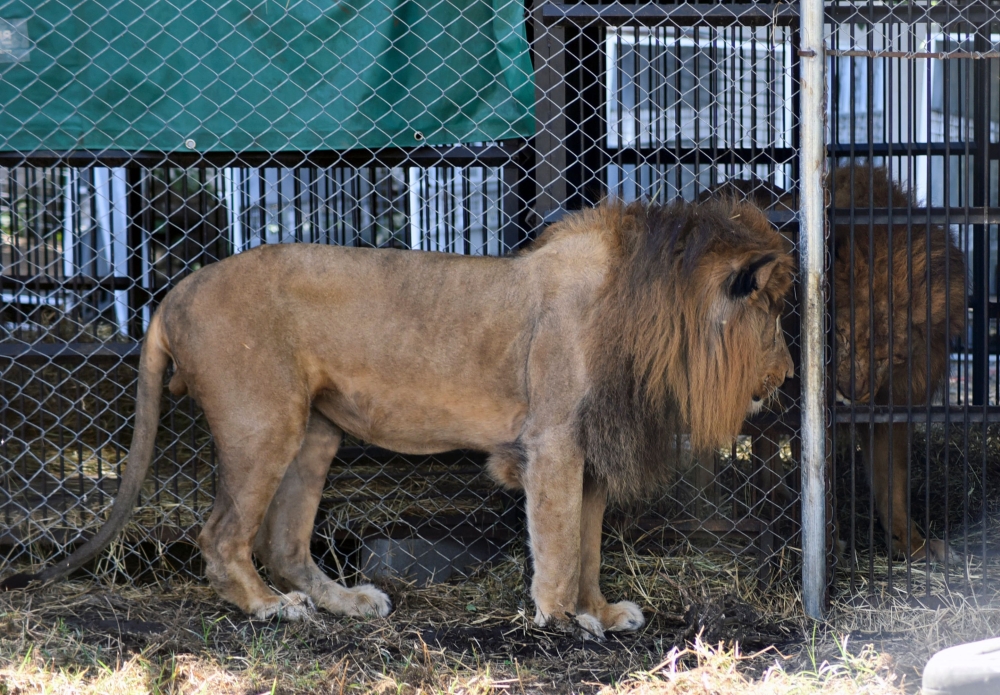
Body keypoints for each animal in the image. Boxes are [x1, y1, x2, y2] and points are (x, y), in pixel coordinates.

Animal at [1, 199, 794, 639]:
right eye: (776, 311)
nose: (788, 375)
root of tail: (175, 292)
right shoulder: (553, 443)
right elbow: (562, 543)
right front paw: (563, 619)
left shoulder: (592, 450)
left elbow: (590, 543)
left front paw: (600, 610)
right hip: (264, 419)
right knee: (223, 534)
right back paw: (269, 609)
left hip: (316, 432)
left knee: (284, 539)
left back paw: (344, 601)